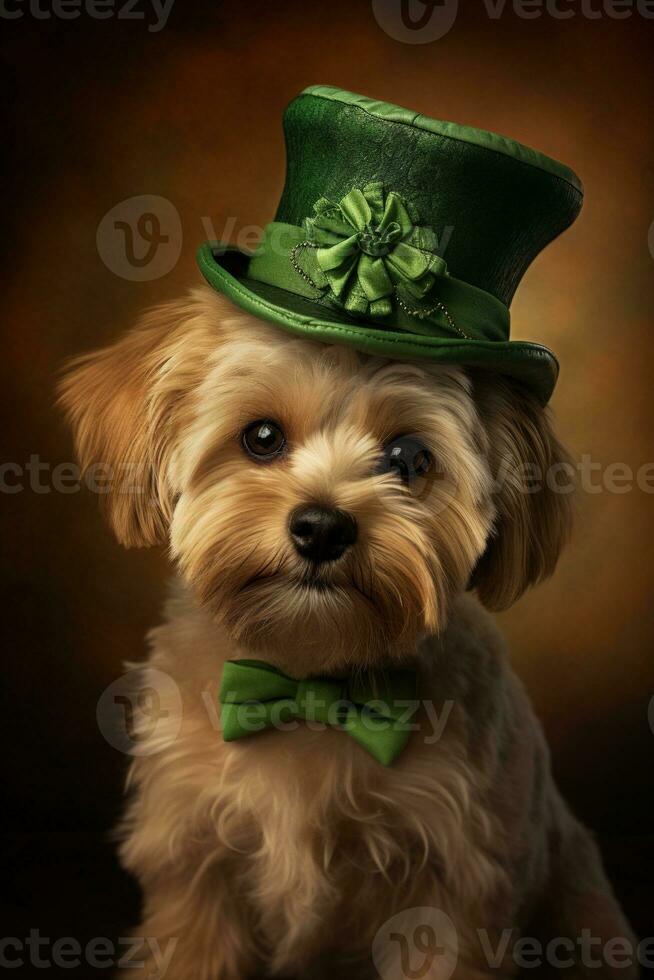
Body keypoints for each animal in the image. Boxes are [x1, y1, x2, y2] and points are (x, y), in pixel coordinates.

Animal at [60, 290, 636, 980]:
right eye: (261, 437)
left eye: (410, 458)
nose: (322, 527)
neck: (311, 682)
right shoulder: (195, 869)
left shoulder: (453, 889)